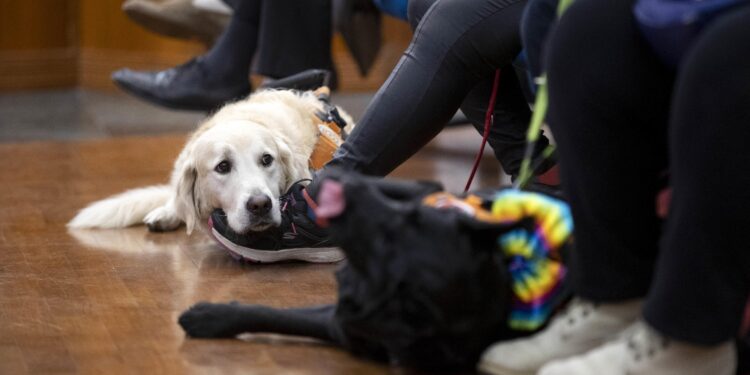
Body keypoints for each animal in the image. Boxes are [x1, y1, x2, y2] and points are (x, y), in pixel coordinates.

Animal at [181, 171, 568, 374]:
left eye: (389, 239)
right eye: (412, 216)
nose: (347, 181)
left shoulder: (342, 320)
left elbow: (279, 316)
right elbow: (270, 313)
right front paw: (212, 316)